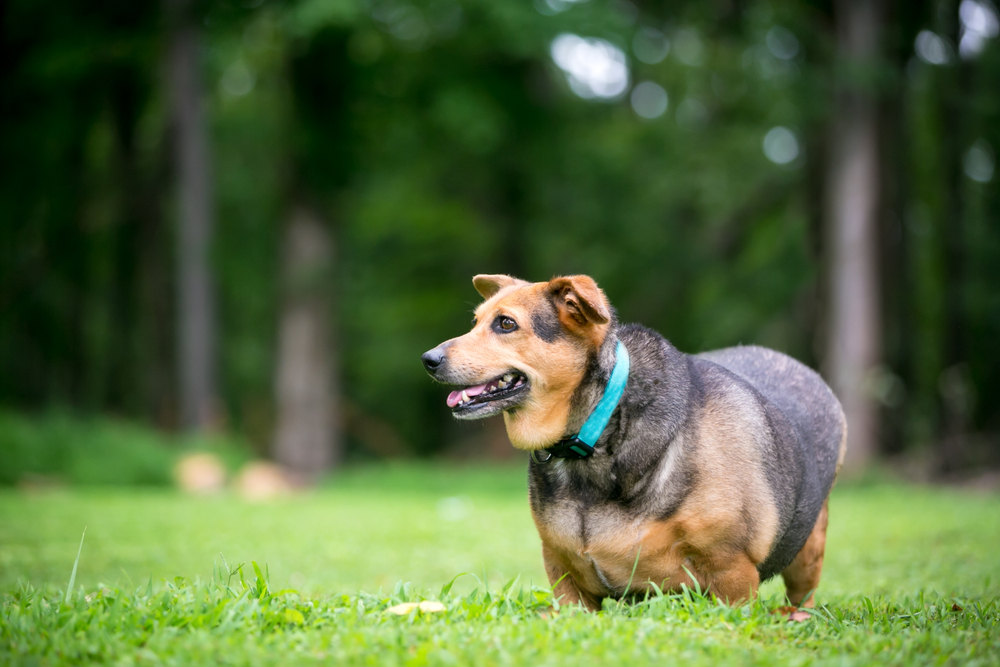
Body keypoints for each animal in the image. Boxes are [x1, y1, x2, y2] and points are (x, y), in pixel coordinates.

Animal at [420, 276, 844, 612]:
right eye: (475, 323)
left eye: (506, 324)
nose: (428, 358)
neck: (595, 433)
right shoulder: (565, 579)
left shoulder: (732, 574)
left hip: (808, 553)